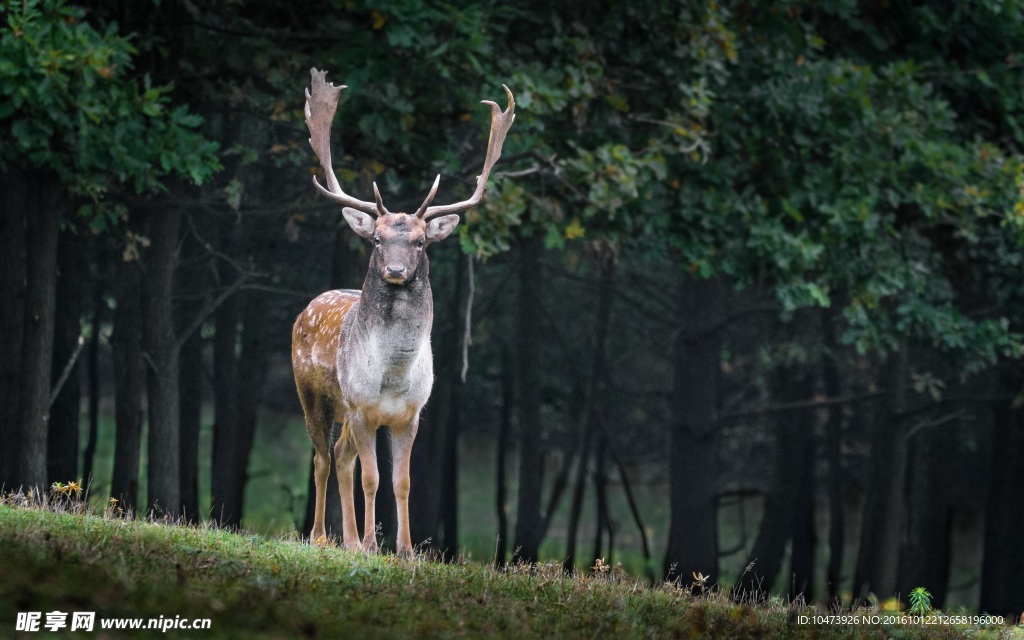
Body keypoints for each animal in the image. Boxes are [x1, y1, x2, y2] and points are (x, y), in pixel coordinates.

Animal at [292, 66, 516, 552]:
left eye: (420, 241)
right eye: (377, 239)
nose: (395, 269)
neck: (392, 378)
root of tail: (307, 308)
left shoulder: (411, 415)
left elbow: (402, 481)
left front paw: (405, 550)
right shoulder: (361, 407)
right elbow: (372, 478)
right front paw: (374, 545)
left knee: (340, 455)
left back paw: (349, 540)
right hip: (314, 394)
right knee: (321, 457)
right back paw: (322, 537)